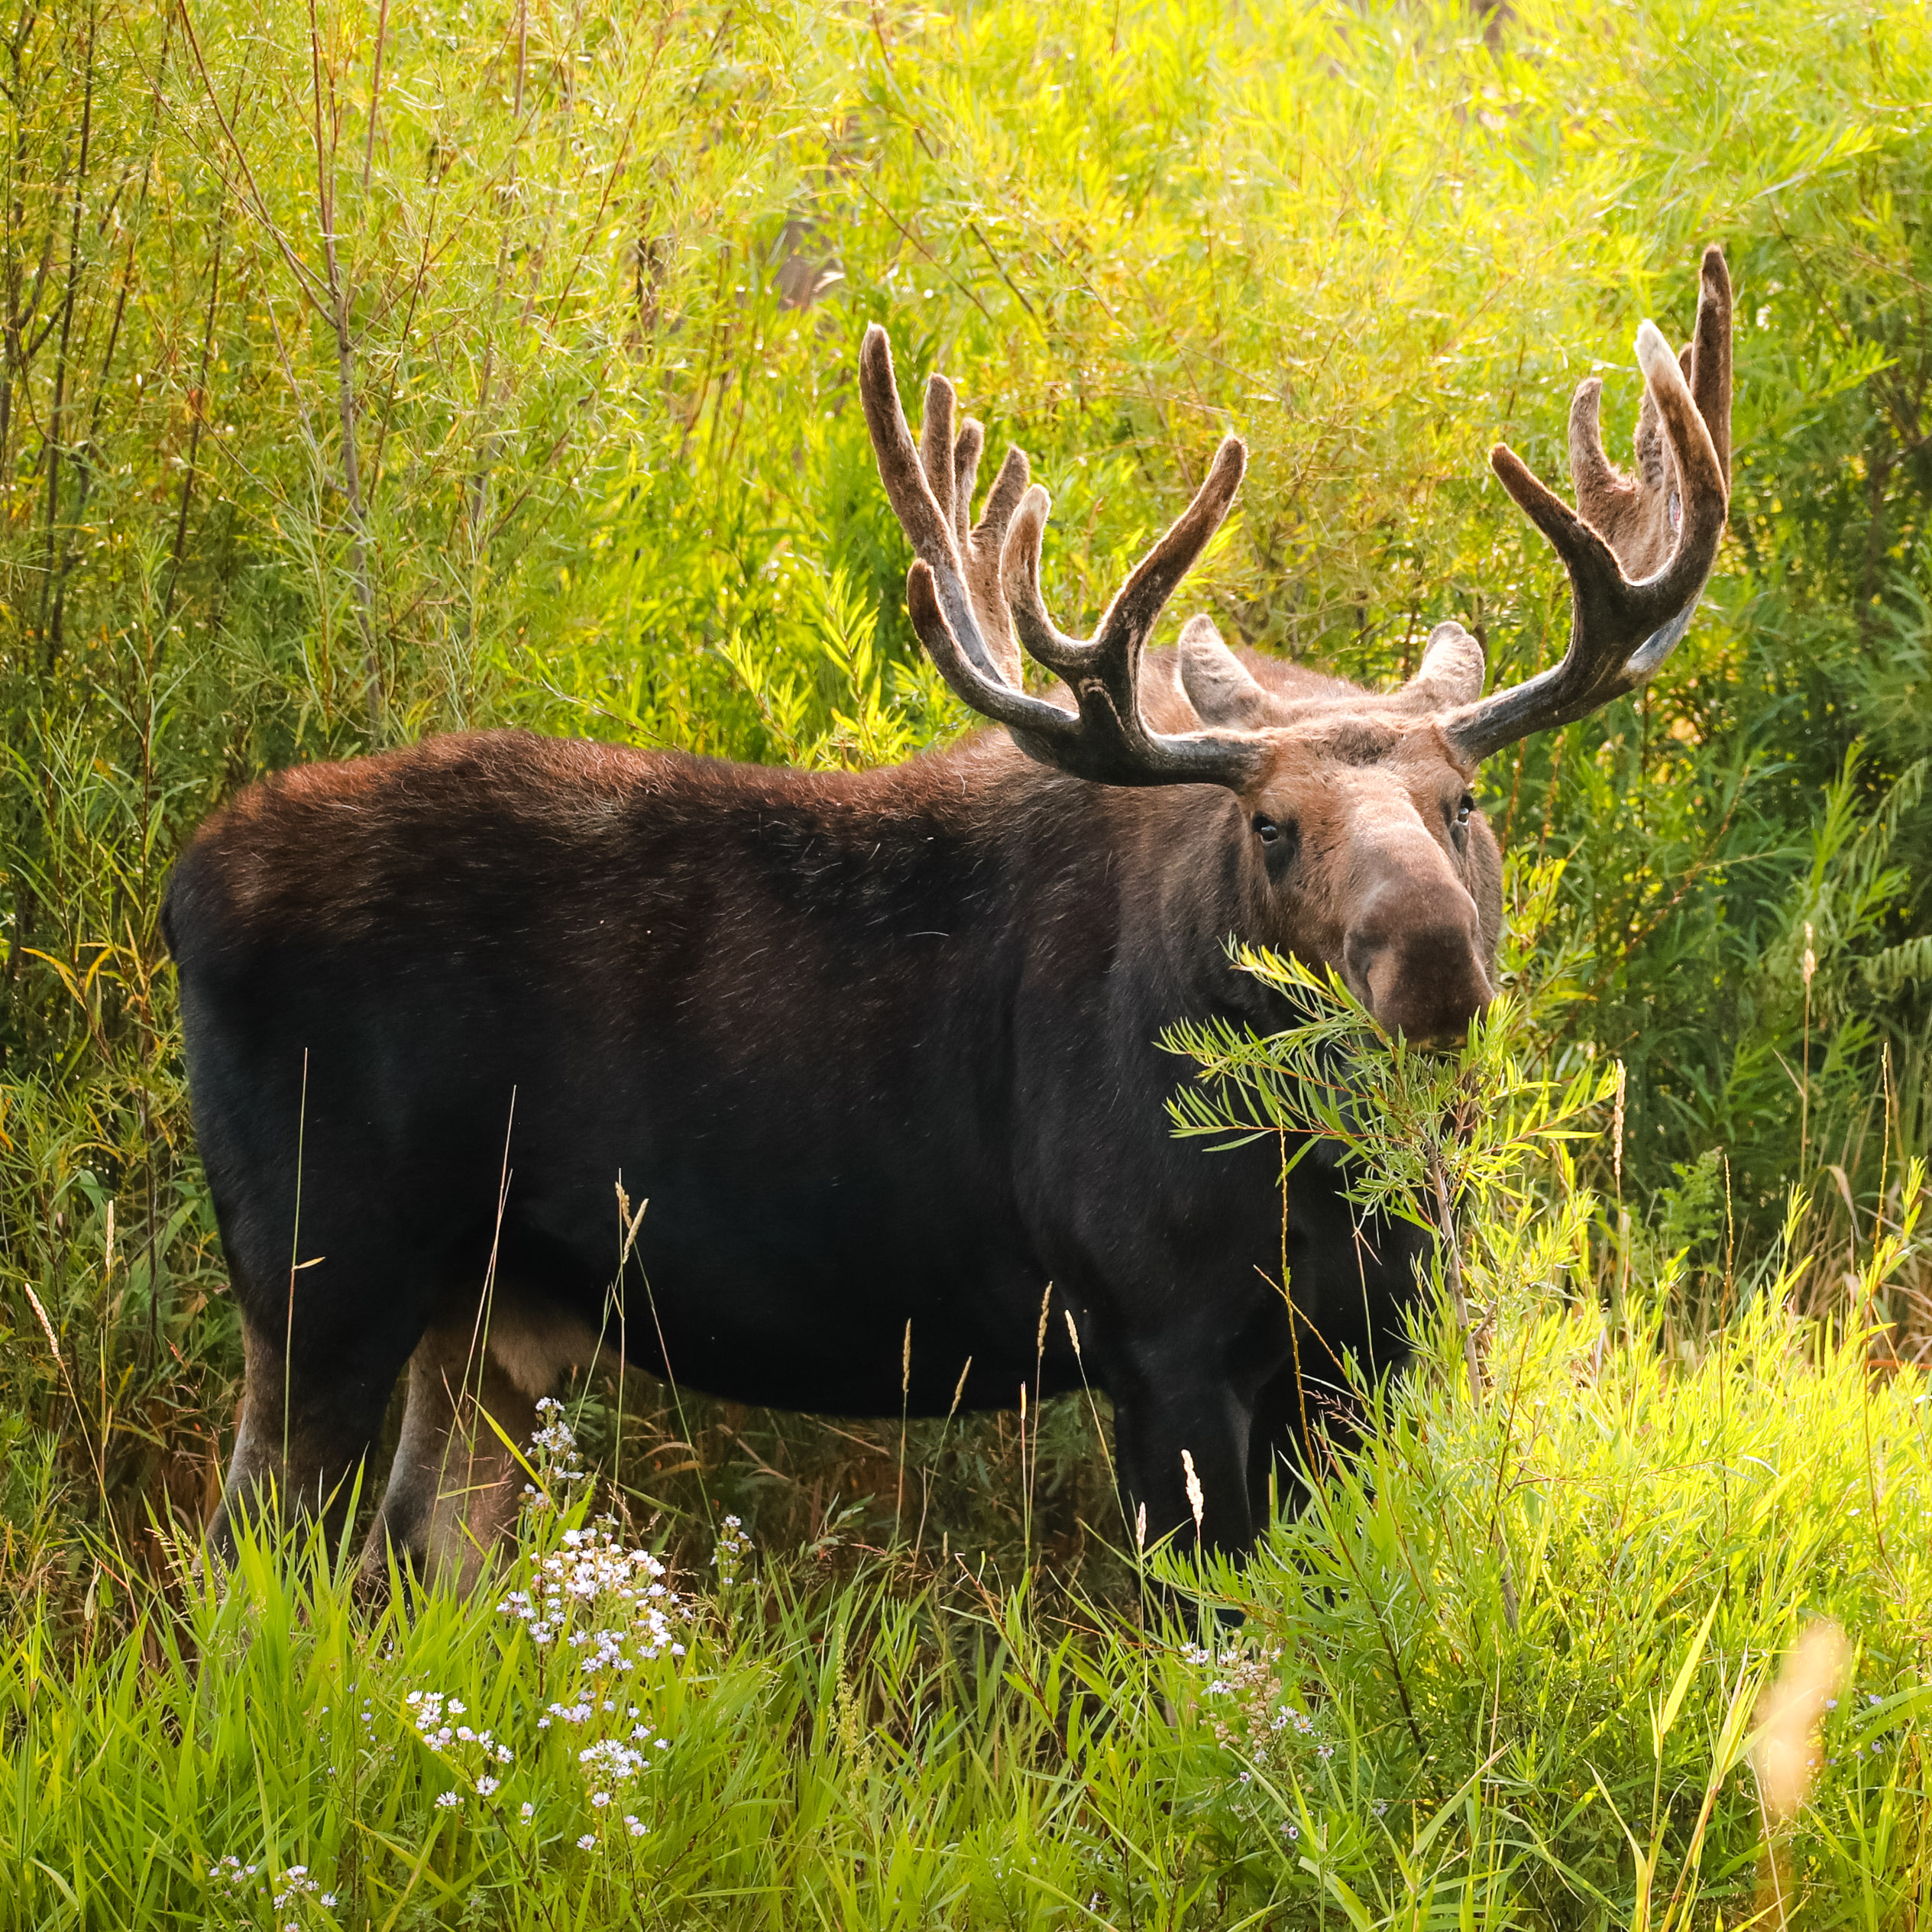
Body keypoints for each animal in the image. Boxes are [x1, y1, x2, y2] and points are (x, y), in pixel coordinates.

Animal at [162, 248, 1731, 1586]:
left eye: (1460, 799)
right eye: (1268, 826)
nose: (1433, 961)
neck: (1316, 1162)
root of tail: (182, 887)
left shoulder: (1368, 1336)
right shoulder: (1150, 1326)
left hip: (488, 1305)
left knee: (419, 1541)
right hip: (317, 1267)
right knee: (252, 1558)